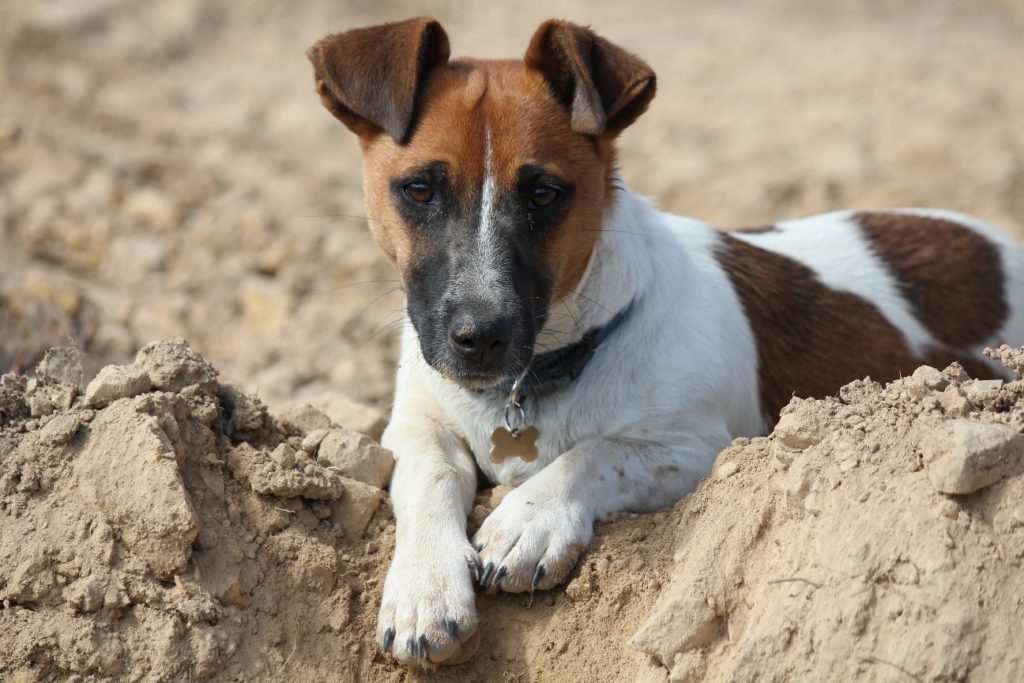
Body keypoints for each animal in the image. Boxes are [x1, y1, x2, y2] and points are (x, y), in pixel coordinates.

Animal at [305, 17, 1024, 667]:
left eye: (545, 193)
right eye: (419, 189)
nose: (480, 337)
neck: (528, 383)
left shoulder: (700, 448)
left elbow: (594, 452)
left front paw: (531, 516)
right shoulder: (413, 426)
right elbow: (428, 475)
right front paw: (424, 590)